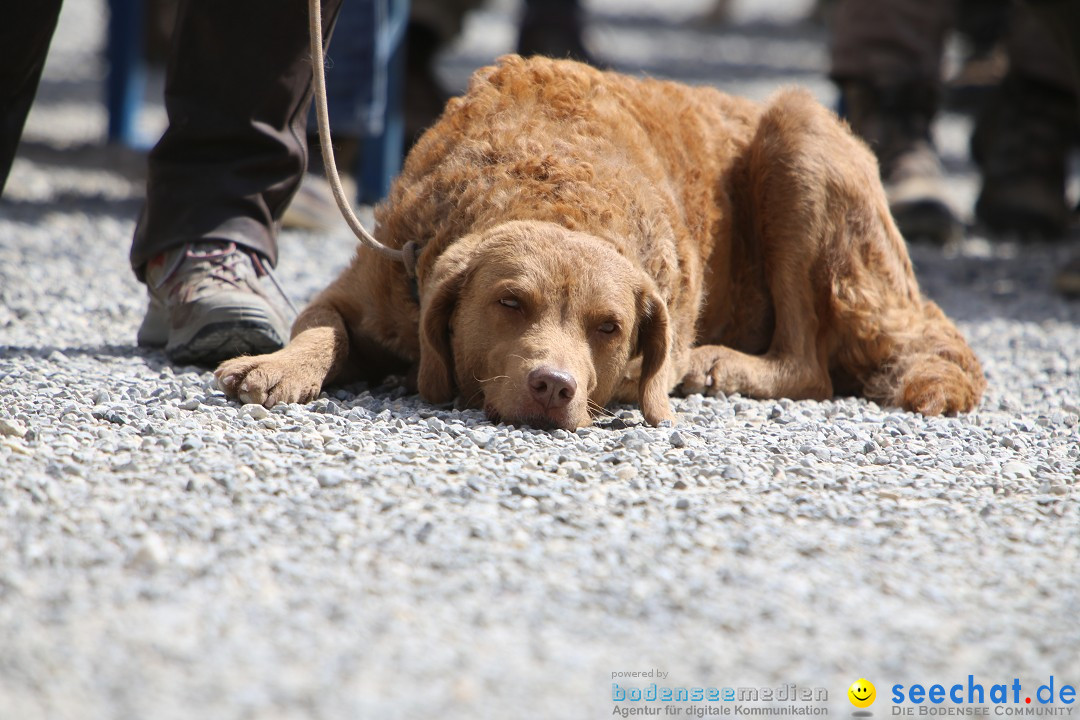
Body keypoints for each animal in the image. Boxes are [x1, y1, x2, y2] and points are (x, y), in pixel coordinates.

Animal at [214, 56, 984, 431]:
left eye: (608, 327)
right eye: (510, 303)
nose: (554, 386)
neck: (552, 188)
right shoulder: (367, 285)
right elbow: (323, 330)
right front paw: (278, 367)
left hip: (801, 138)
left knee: (811, 363)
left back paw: (722, 364)